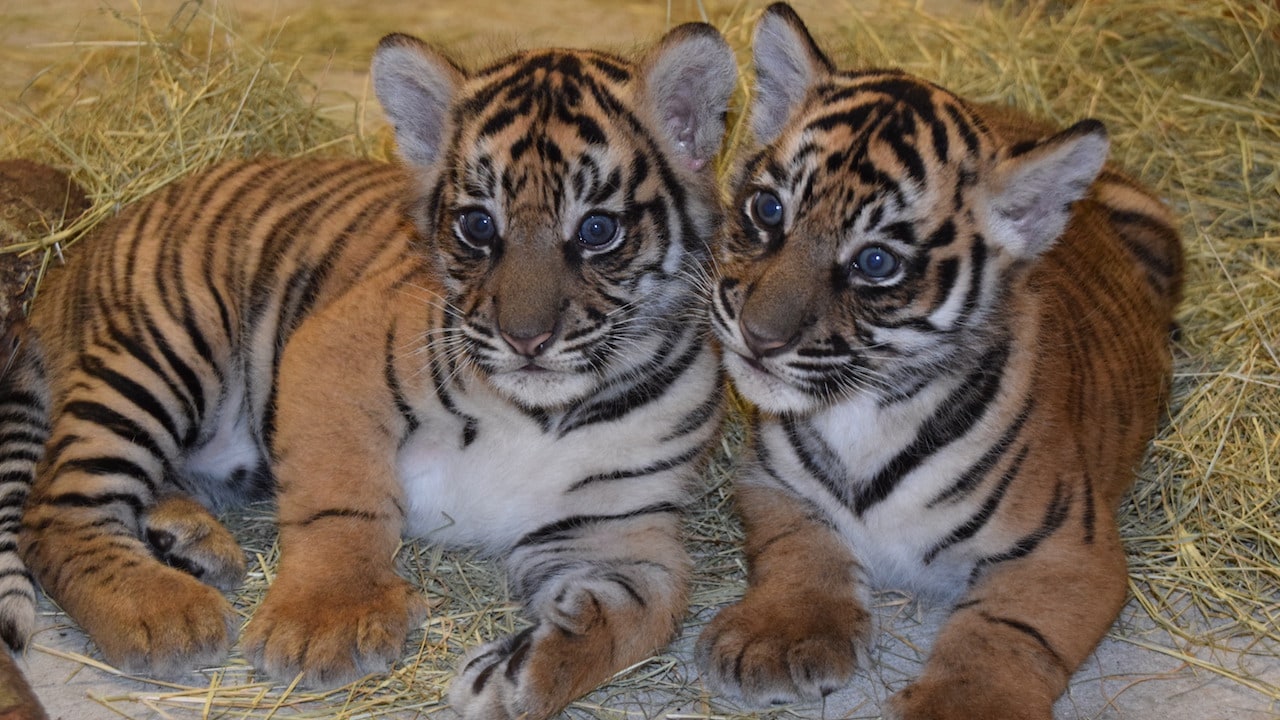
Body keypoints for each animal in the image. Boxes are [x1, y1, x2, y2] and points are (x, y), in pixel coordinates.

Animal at [8, 22, 736, 720]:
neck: (545, 412)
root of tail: (75, 251)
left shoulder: (620, 530)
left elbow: (636, 619)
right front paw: (327, 621)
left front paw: (515, 676)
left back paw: (189, 540)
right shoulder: (333, 351)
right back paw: (164, 612)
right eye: (478, 226)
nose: (525, 339)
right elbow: (341, 496)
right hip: (168, 348)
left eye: (597, 231)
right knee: (53, 511)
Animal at [695, 4, 1183, 719]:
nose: (758, 337)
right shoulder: (770, 485)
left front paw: (962, 704)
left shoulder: (1069, 548)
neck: (865, 414)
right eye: (768, 209)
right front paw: (779, 636)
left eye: (875, 262)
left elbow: (1004, 630)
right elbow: (797, 551)